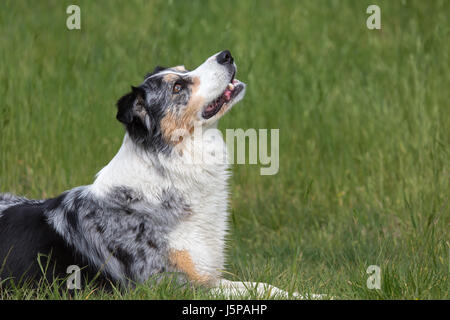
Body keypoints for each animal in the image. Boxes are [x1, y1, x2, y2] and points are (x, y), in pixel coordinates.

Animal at [0, 51, 304, 298]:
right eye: (178, 87)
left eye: (184, 68)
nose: (226, 55)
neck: (169, 172)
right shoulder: (168, 284)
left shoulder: (204, 275)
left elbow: (264, 286)